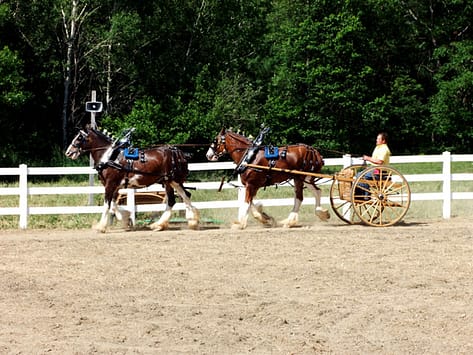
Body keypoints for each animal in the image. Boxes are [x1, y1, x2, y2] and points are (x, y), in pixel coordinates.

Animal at [65, 126, 198, 232]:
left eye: (79, 138)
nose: (68, 152)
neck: (110, 157)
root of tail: (179, 153)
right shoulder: (115, 186)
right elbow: (114, 204)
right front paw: (125, 219)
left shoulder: (110, 184)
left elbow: (107, 204)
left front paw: (101, 227)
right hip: (169, 182)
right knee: (179, 198)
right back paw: (170, 224)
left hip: (173, 180)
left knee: (180, 197)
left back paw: (186, 222)